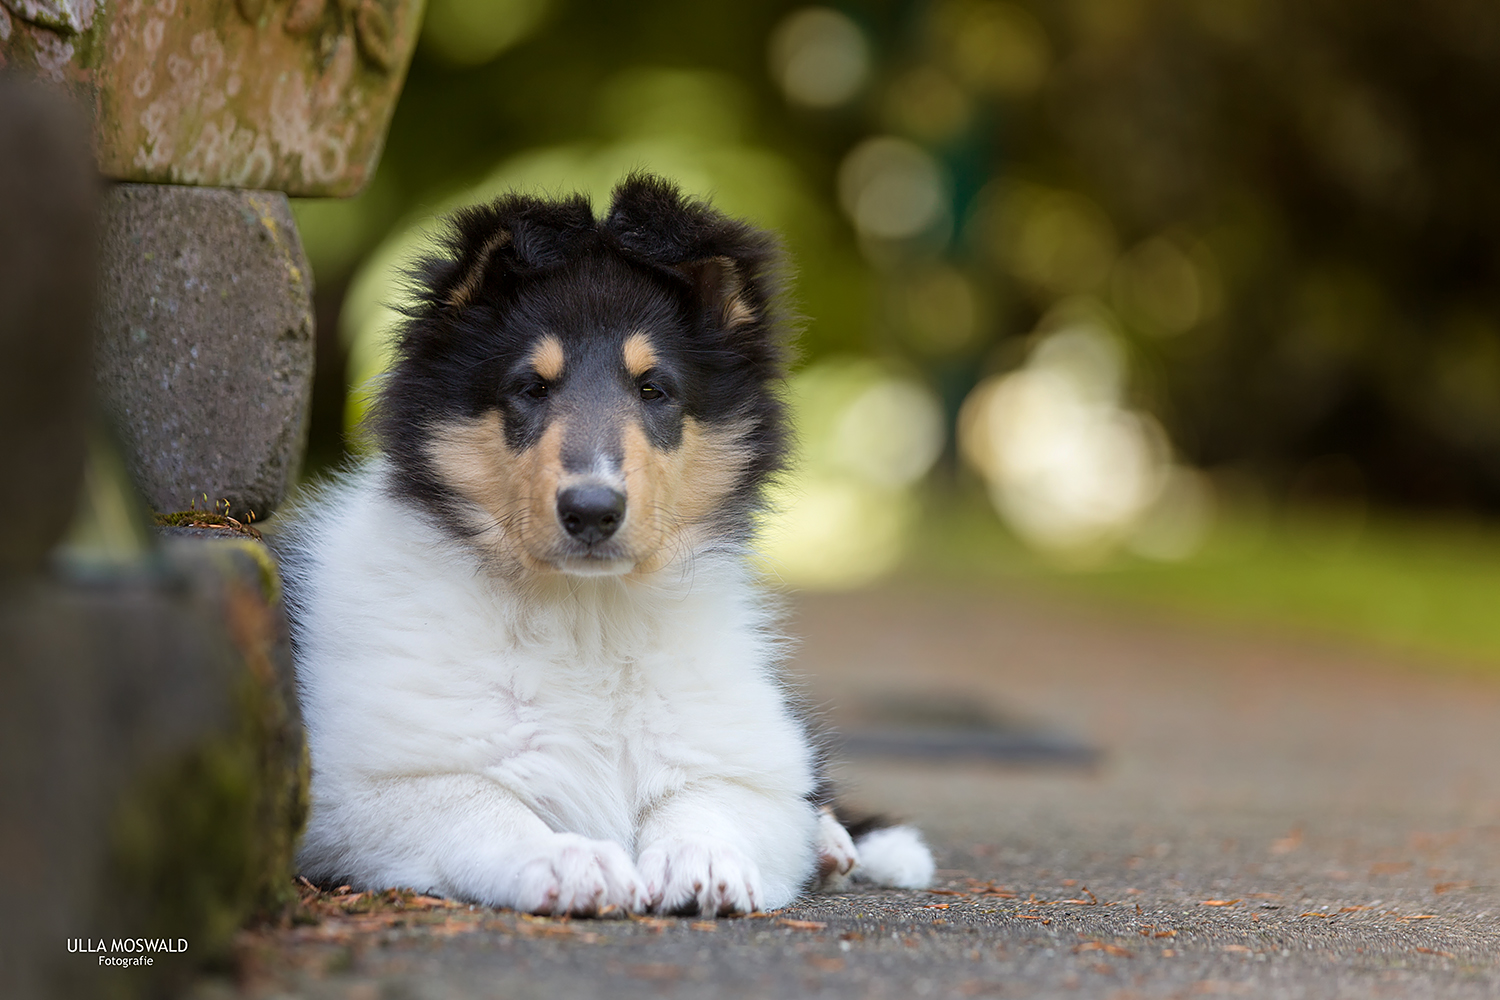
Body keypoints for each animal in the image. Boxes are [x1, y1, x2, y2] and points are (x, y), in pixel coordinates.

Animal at [276, 173, 930, 917]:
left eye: (655, 389)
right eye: (530, 387)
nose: (592, 511)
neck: (586, 615)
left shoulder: (736, 763)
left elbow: (707, 800)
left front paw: (703, 863)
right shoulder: (358, 786)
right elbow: (481, 802)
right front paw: (570, 859)